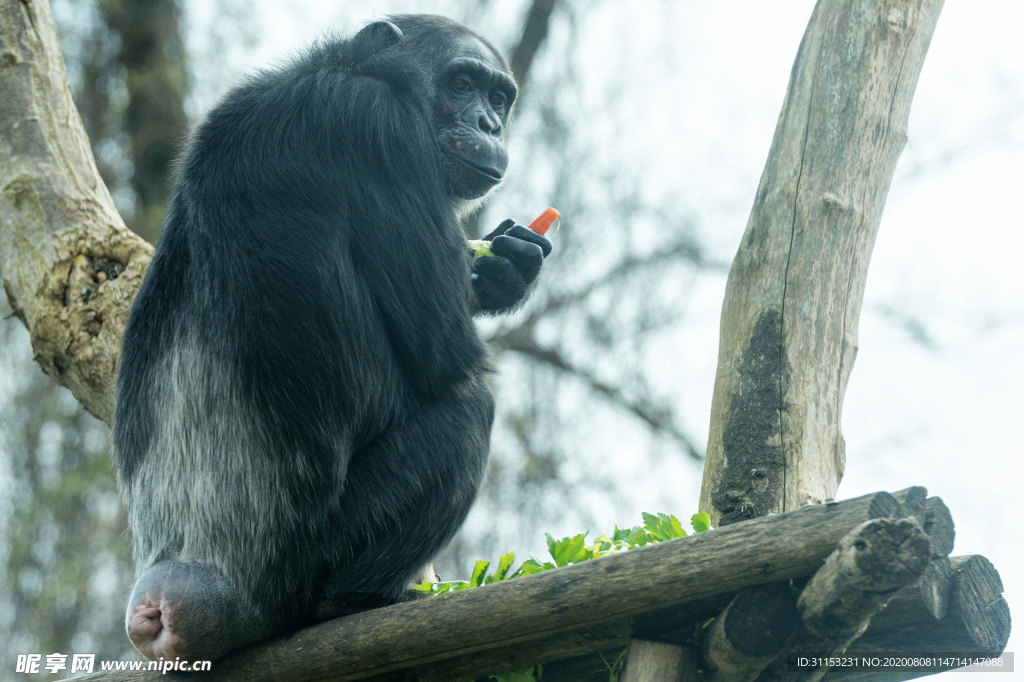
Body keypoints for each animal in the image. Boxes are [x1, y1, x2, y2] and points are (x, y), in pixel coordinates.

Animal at [112, 14, 552, 659]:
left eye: (499, 98)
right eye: (462, 85)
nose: (489, 124)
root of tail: (184, 585)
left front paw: (506, 266)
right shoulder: (380, 128)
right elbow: (447, 353)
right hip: (306, 561)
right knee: (466, 415)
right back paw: (355, 600)